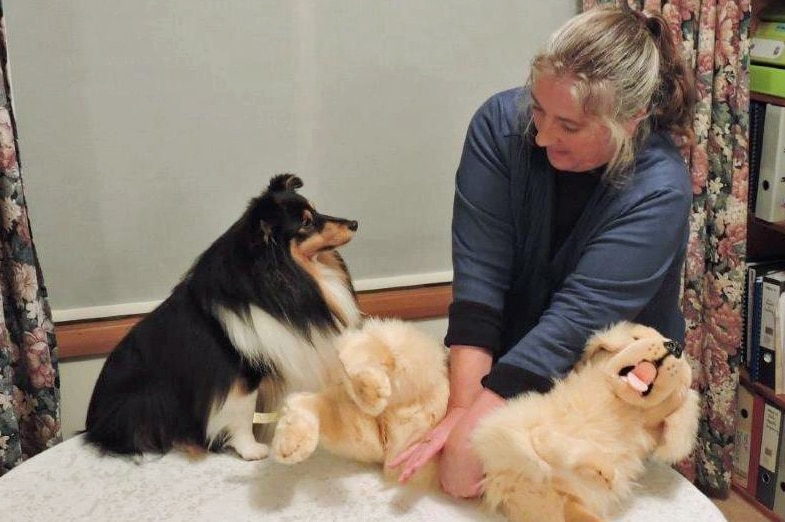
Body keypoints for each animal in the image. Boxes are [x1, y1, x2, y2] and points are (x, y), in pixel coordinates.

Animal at [85, 173, 362, 458]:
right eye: (306, 223)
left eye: (316, 210)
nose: (354, 223)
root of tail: (93, 425)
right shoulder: (243, 372)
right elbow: (242, 413)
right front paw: (251, 450)